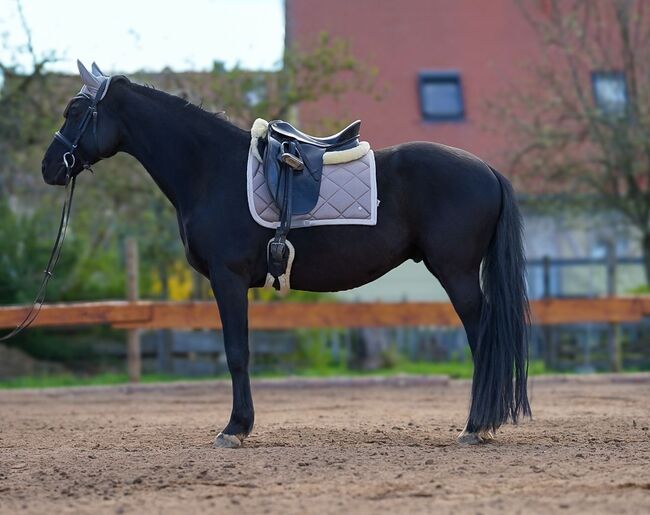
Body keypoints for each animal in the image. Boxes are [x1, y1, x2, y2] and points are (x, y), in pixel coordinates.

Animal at [39, 63, 528, 448]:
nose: (49, 167)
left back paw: (476, 426)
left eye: (76, 111)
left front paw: (235, 429)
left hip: (456, 272)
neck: (210, 169)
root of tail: (486, 170)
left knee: (483, 338)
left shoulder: (228, 278)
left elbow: (236, 351)